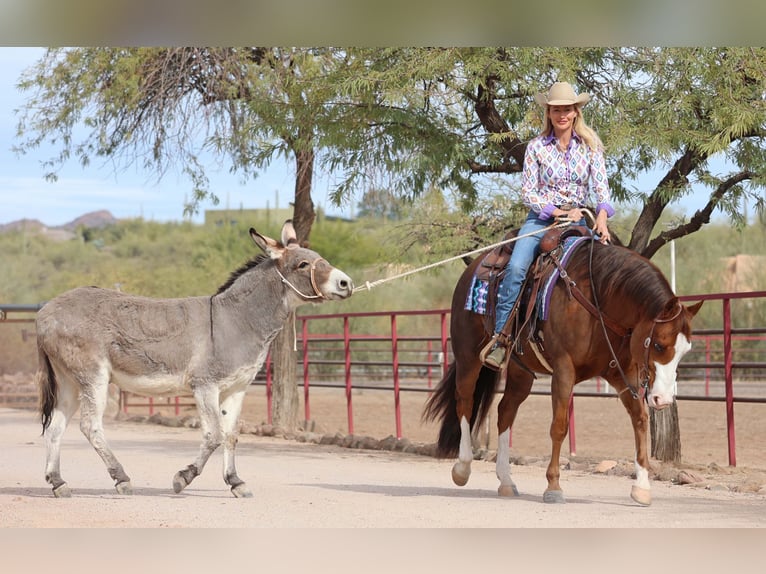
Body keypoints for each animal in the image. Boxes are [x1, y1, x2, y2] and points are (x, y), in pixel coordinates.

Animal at [37, 220, 356, 500]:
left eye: (321, 258)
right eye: (302, 265)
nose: (346, 283)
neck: (235, 320)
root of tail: (46, 312)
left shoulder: (236, 388)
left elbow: (231, 435)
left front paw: (236, 482)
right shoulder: (205, 385)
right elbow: (213, 435)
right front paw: (183, 478)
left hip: (70, 381)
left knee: (55, 427)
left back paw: (58, 483)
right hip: (93, 377)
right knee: (90, 426)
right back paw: (122, 479)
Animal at [424, 230, 704, 508]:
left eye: (686, 349)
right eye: (658, 344)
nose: (663, 399)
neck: (598, 298)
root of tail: (472, 269)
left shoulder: (621, 374)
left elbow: (640, 420)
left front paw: (642, 488)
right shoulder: (563, 370)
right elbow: (559, 427)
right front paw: (553, 486)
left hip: (520, 371)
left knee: (505, 411)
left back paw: (506, 480)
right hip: (468, 357)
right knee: (465, 402)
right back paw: (462, 468)